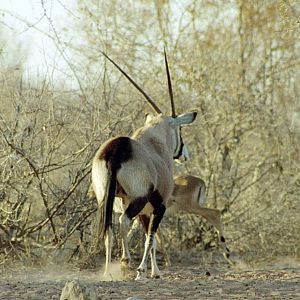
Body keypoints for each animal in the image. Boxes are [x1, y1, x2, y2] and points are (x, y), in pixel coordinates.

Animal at [92, 49, 198, 278]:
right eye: (180, 129)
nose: (184, 154)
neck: (154, 139)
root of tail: (117, 148)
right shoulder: (159, 206)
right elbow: (151, 238)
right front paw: (149, 271)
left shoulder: (143, 209)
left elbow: (149, 237)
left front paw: (152, 271)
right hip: (137, 199)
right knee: (123, 221)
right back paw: (127, 262)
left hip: (106, 198)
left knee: (109, 228)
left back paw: (107, 271)